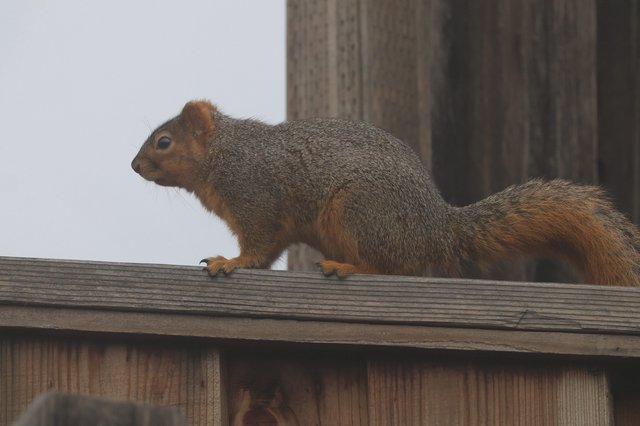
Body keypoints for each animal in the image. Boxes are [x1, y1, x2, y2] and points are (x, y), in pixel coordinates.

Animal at [131, 100, 640, 286]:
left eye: (164, 142)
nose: (134, 166)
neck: (225, 155)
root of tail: (440, 228)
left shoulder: (256, 196)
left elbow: (259, 247)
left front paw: (229, 262)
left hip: (362, 211)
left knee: (395, 267)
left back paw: (346, 266)